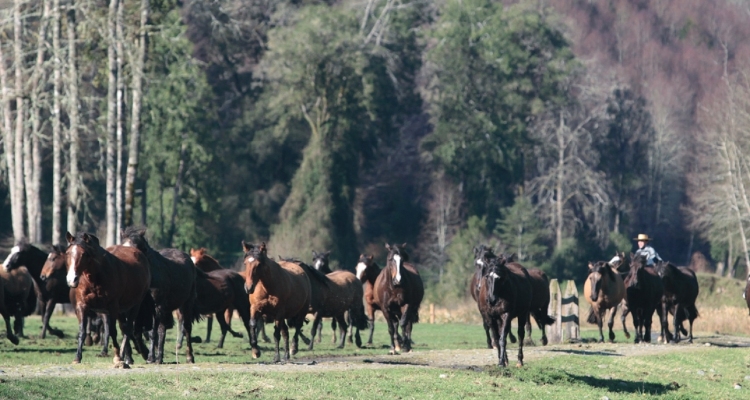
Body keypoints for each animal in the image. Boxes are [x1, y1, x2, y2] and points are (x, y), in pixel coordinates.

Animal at [65, 231, 151, 366]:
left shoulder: (112, 307)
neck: (94, 278)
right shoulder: (82, 306)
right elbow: (82, 331)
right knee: (124, 328)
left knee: (127, 329)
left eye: (84, 254)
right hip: (121, 311)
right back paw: (127, 356)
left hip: (134, 306)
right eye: (67, 253)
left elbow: (112, 331)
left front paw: (117, 356)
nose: (71, 280)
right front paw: (77, 357)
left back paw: (124, 356)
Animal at [120, 227, 198, 364]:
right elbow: (138, 331)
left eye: (135, 248)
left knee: (187, 327)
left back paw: (189, 357)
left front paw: (151, 357)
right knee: (163, 329)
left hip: (186, 303)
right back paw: (159, 356)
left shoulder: (156, 306)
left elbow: (152, 332)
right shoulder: (141, 309)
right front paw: (143, 355)